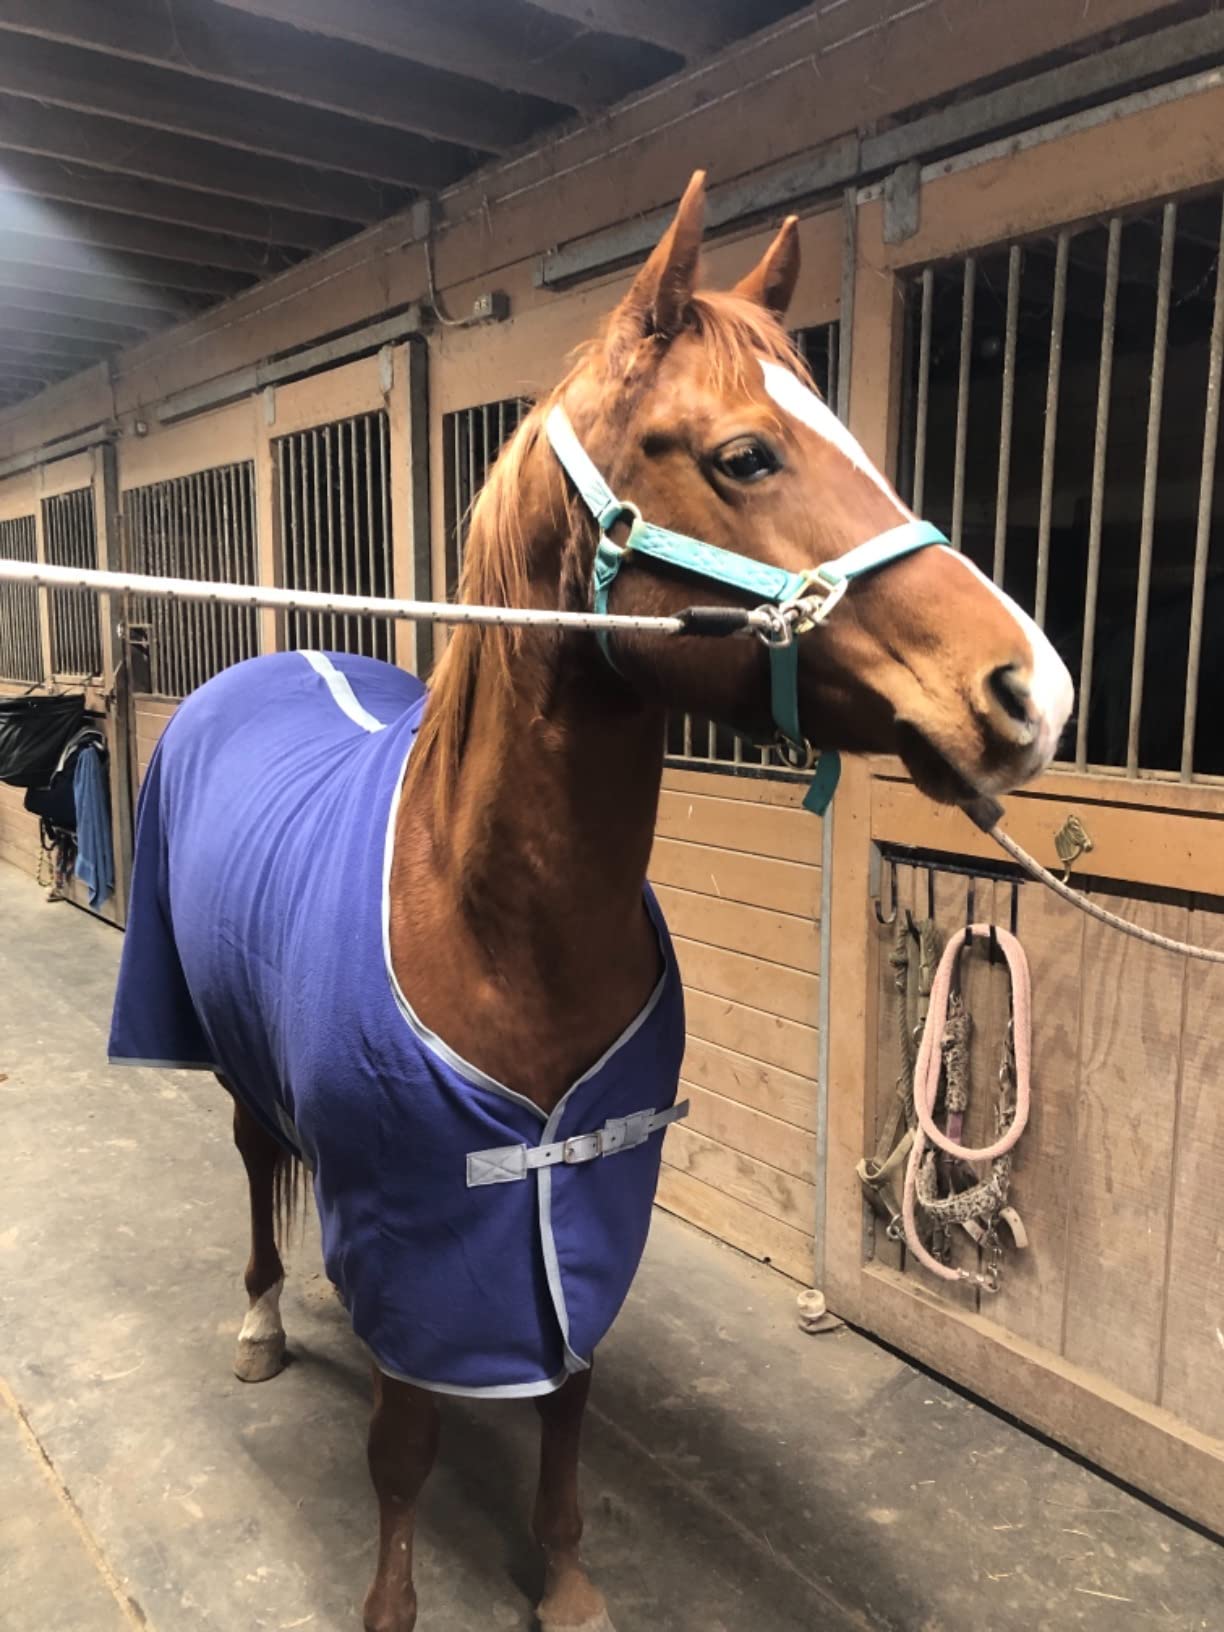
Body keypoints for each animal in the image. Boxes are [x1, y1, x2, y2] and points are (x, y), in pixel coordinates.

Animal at [108, 172, 1073, 1632]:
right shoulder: (423, 1214)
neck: (497, 931)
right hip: (227, 1064)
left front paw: (562, 1581)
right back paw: (264, 1323)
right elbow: (402, 1440)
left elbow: (567, 1395)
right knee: (255, 1171)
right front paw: (392, 1604)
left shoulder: (581, 1203)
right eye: (745, 456)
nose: (1032, 691)